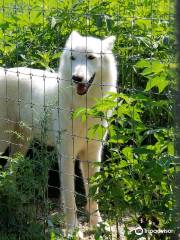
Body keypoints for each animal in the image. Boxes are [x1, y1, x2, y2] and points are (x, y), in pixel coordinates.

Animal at [0, 31, 116, 237]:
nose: (76, 78)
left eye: (91, 57)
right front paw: (72, 231)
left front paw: (98, 226)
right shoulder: (66, 155)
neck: (83, 108)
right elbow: (69, 198)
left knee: (8, 171)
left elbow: (93, 194)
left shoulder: (92, 154)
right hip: (4, 140)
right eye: (72, 58)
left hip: (21, 145)